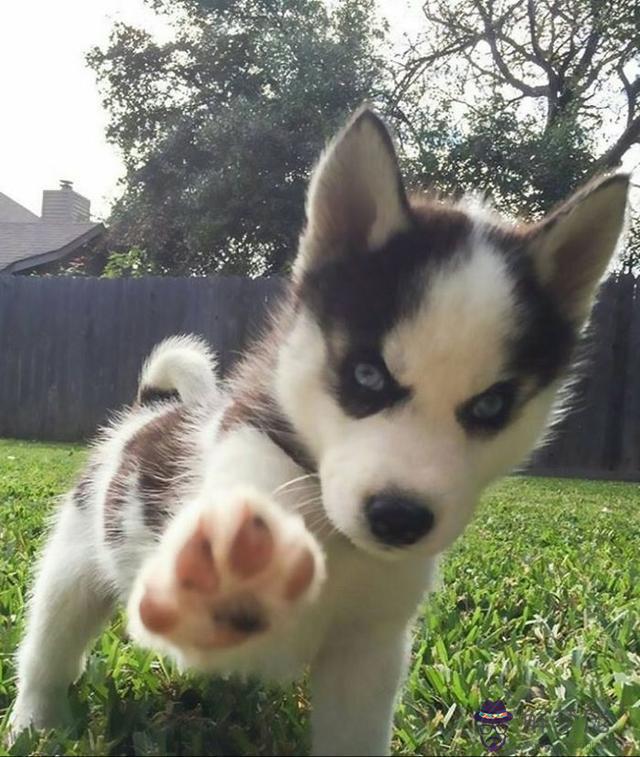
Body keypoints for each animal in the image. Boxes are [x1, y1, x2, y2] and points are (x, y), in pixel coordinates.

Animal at [10, 109, 632, 752]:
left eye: (491, 406)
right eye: (367, 374)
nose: (398, 518)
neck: (335, 535)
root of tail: (145, 412)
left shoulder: (370, 653)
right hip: (72, 569)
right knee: (47, 649)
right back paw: (35, 722)